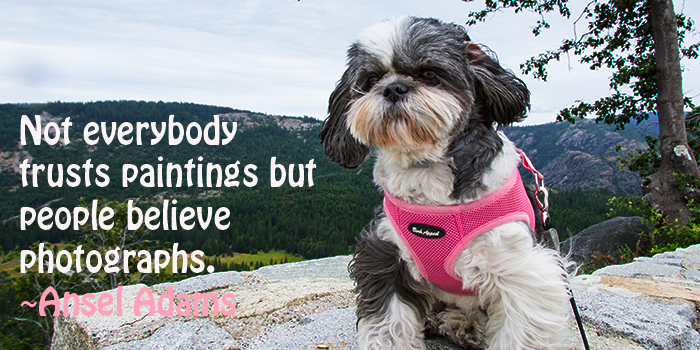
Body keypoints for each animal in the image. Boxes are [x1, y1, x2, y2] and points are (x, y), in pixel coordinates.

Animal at [320, 16, 572, 350]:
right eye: (371, 79)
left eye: (429, 74)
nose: (394, 88)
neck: (426, 168)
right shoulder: (384, 254)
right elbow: (388, 323)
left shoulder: (522, 270)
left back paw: (464, 323)